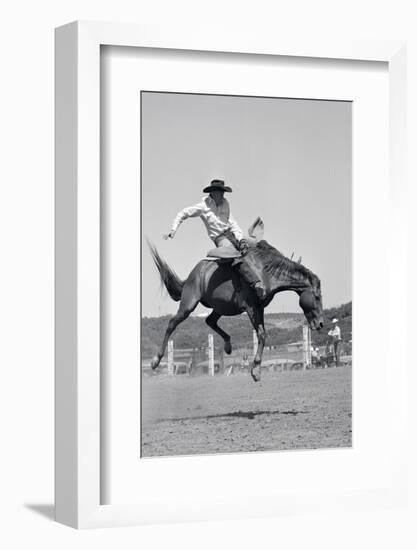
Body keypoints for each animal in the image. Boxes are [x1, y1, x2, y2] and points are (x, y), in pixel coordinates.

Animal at [148, 218, 324, 382]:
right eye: (317, 296)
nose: (321, 323)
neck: (264, 271)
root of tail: (193, 274)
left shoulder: (260, 307)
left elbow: (262, 334)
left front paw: (256, 369)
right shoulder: (251, 307)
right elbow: (262, 334)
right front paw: (256, 370)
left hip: (220, 307)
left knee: (210, 321)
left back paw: (227, 345)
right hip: (188, 304)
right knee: (172, 323)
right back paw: (156, 360)